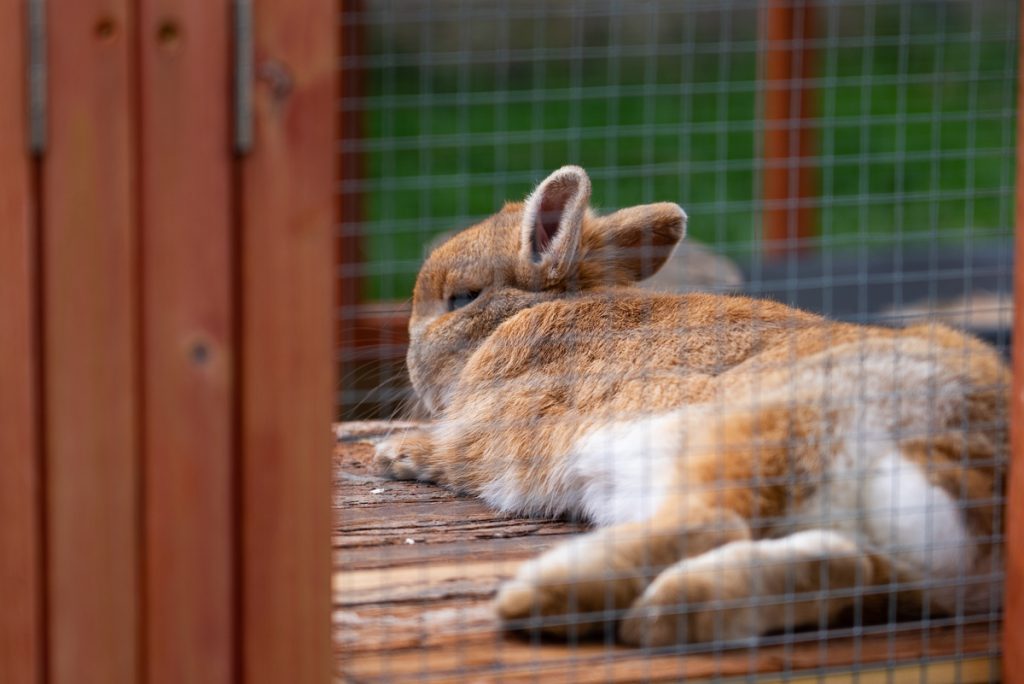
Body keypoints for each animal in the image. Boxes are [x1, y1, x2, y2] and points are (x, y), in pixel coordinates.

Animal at [373, 166, 1009, 646]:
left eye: (462, 298)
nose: (408, 358)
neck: (527, 316)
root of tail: (974, 467)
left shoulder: (494, 429)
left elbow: (452, 451)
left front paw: (392, 452)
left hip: (757, 427)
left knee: (713, 520)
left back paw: (539, 598)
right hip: (885, 562)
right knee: (837, 565)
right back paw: (664, 615)